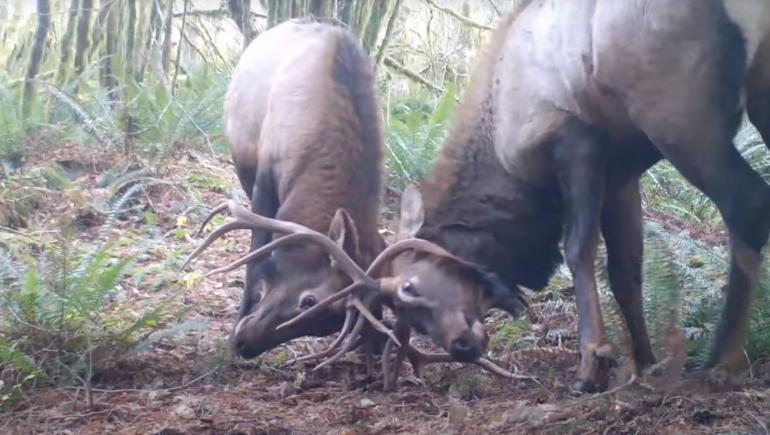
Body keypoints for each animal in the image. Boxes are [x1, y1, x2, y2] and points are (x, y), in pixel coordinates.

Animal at [285, 0, 770, 393]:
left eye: (410, 288)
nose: (461, 348)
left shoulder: (575, 138)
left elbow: (579, 251)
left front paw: (592, 364)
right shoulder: (622, 171)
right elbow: (627, 271)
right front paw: (644, 363)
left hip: (675, 106)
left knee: (747, 201)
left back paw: (723, 361)